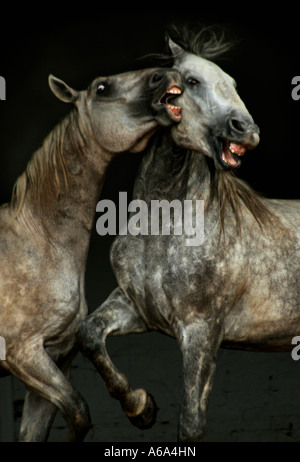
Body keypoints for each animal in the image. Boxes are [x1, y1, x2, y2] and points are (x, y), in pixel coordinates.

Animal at [0, 67, 182, 440]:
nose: (165, 75)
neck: (40, 243)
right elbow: (79, 412)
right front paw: (140, 407)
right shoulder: (23, 354)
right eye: (101, 88)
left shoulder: (56, 356)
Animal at [78, 30, 300, 442]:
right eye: (193, 81)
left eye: (232, 84)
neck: (162, 230)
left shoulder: (201, 331)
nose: (247, 131)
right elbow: (88, 334)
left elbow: (191, 423)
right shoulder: (136, 307)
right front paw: (141, 409)